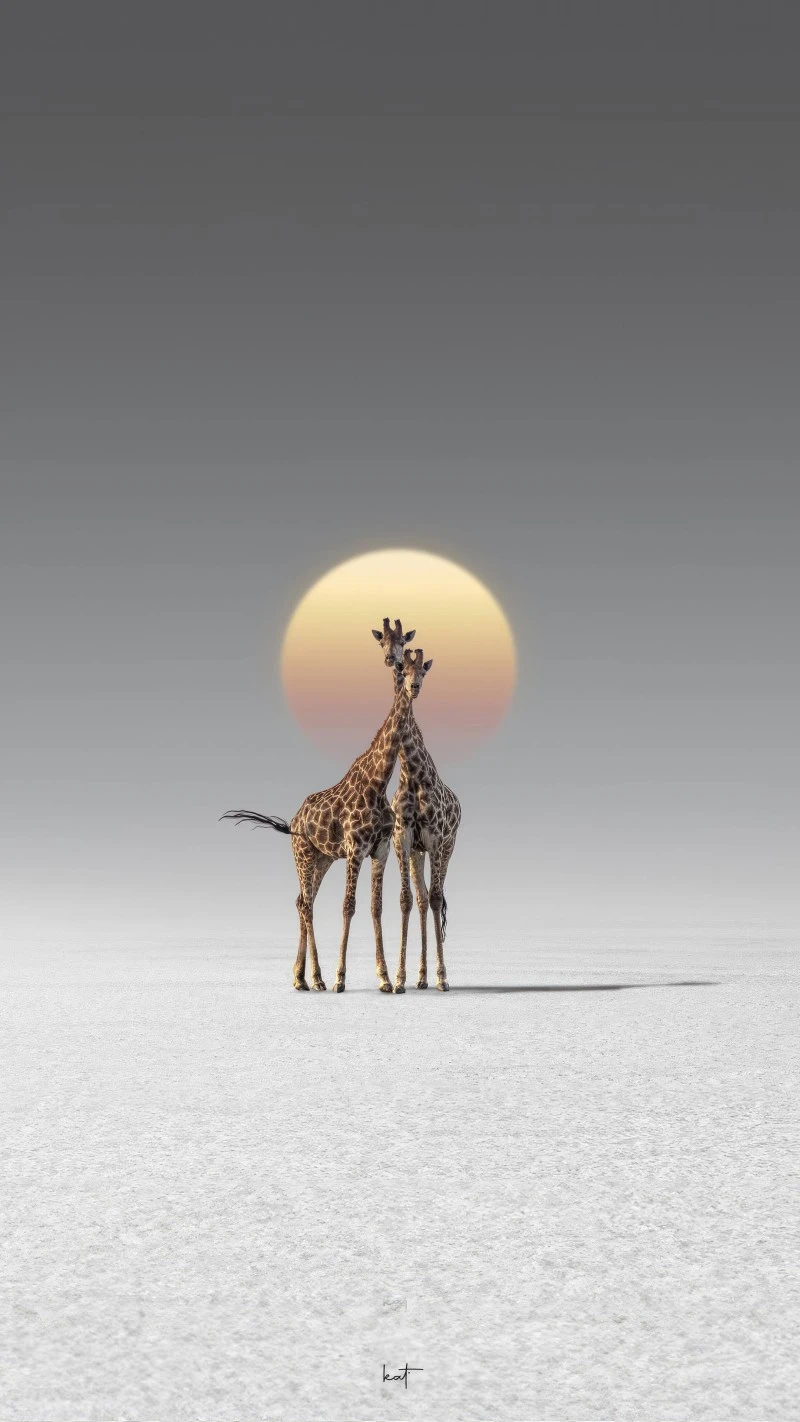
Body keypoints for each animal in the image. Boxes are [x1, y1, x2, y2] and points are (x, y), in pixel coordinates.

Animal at [221, 648, 429, 993]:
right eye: (402, 666)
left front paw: (385, 979)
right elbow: (348, 905)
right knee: (306, 905)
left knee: (301, 902)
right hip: (304, 856)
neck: (378, 782)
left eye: (422, 671)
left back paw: (300, 978)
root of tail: (292, 823)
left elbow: (375, 906)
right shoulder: (355, 849)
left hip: (322, 859)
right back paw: (316, 978)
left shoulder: (381, 849)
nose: (413, 687)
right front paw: (339, 978)